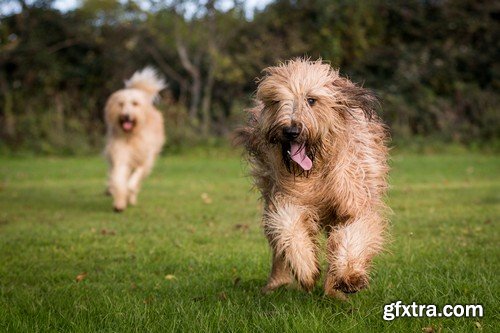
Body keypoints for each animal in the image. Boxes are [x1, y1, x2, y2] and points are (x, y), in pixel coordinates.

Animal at [103, 67, 166, 211]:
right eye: (121, 104)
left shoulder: (144, 158)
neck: (131, 136)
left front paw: (129, 191)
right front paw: (119, 202)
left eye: (135, 104)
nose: (126, 116)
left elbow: (134, 179)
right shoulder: (121, 154)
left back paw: (131, 198)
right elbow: (119, 178)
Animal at [238, 59, 390, 296]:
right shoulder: (286, 198)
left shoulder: (354, 199)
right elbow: (288, 228)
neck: (316, 170)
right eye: (276, 101)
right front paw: (306, 271)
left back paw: (334, 289)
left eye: (311, 100)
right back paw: (275, 283)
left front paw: (349, 276)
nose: (291, 130)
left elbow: (353, 234)